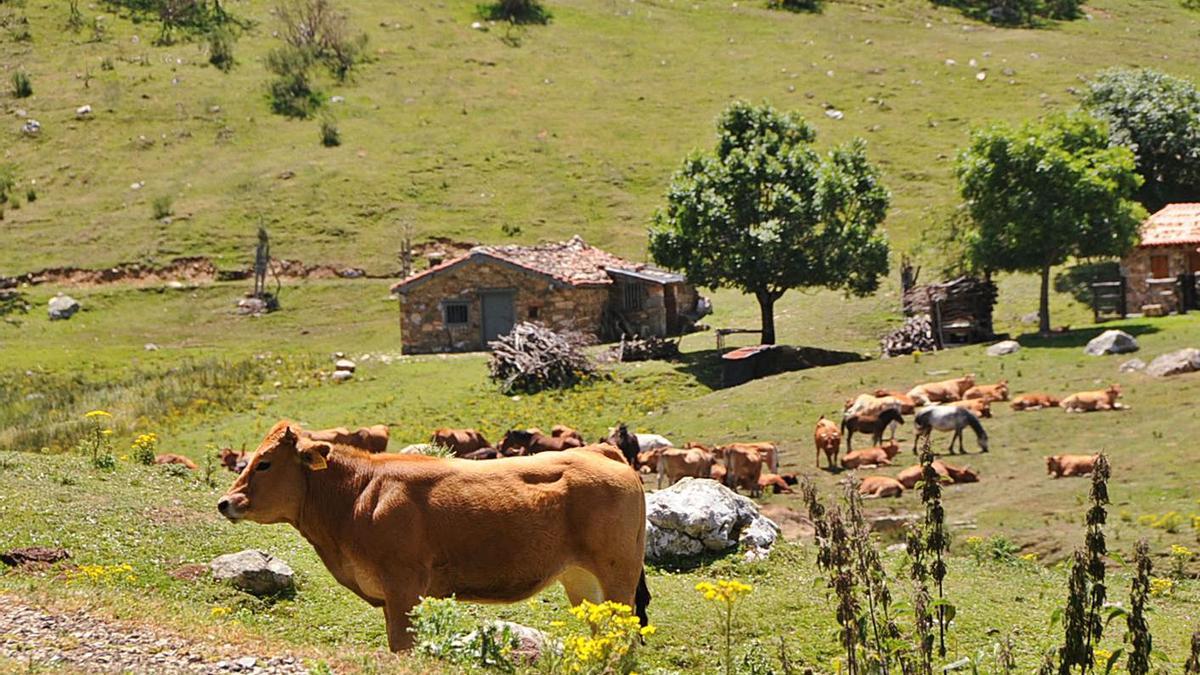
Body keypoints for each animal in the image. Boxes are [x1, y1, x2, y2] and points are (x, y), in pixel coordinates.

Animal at [216, 422, 648, 648]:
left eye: (264, 463)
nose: (225, 502)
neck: (357, 497)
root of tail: (600, 451)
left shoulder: (404, 587)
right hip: (581, 578)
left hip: (618, 575)